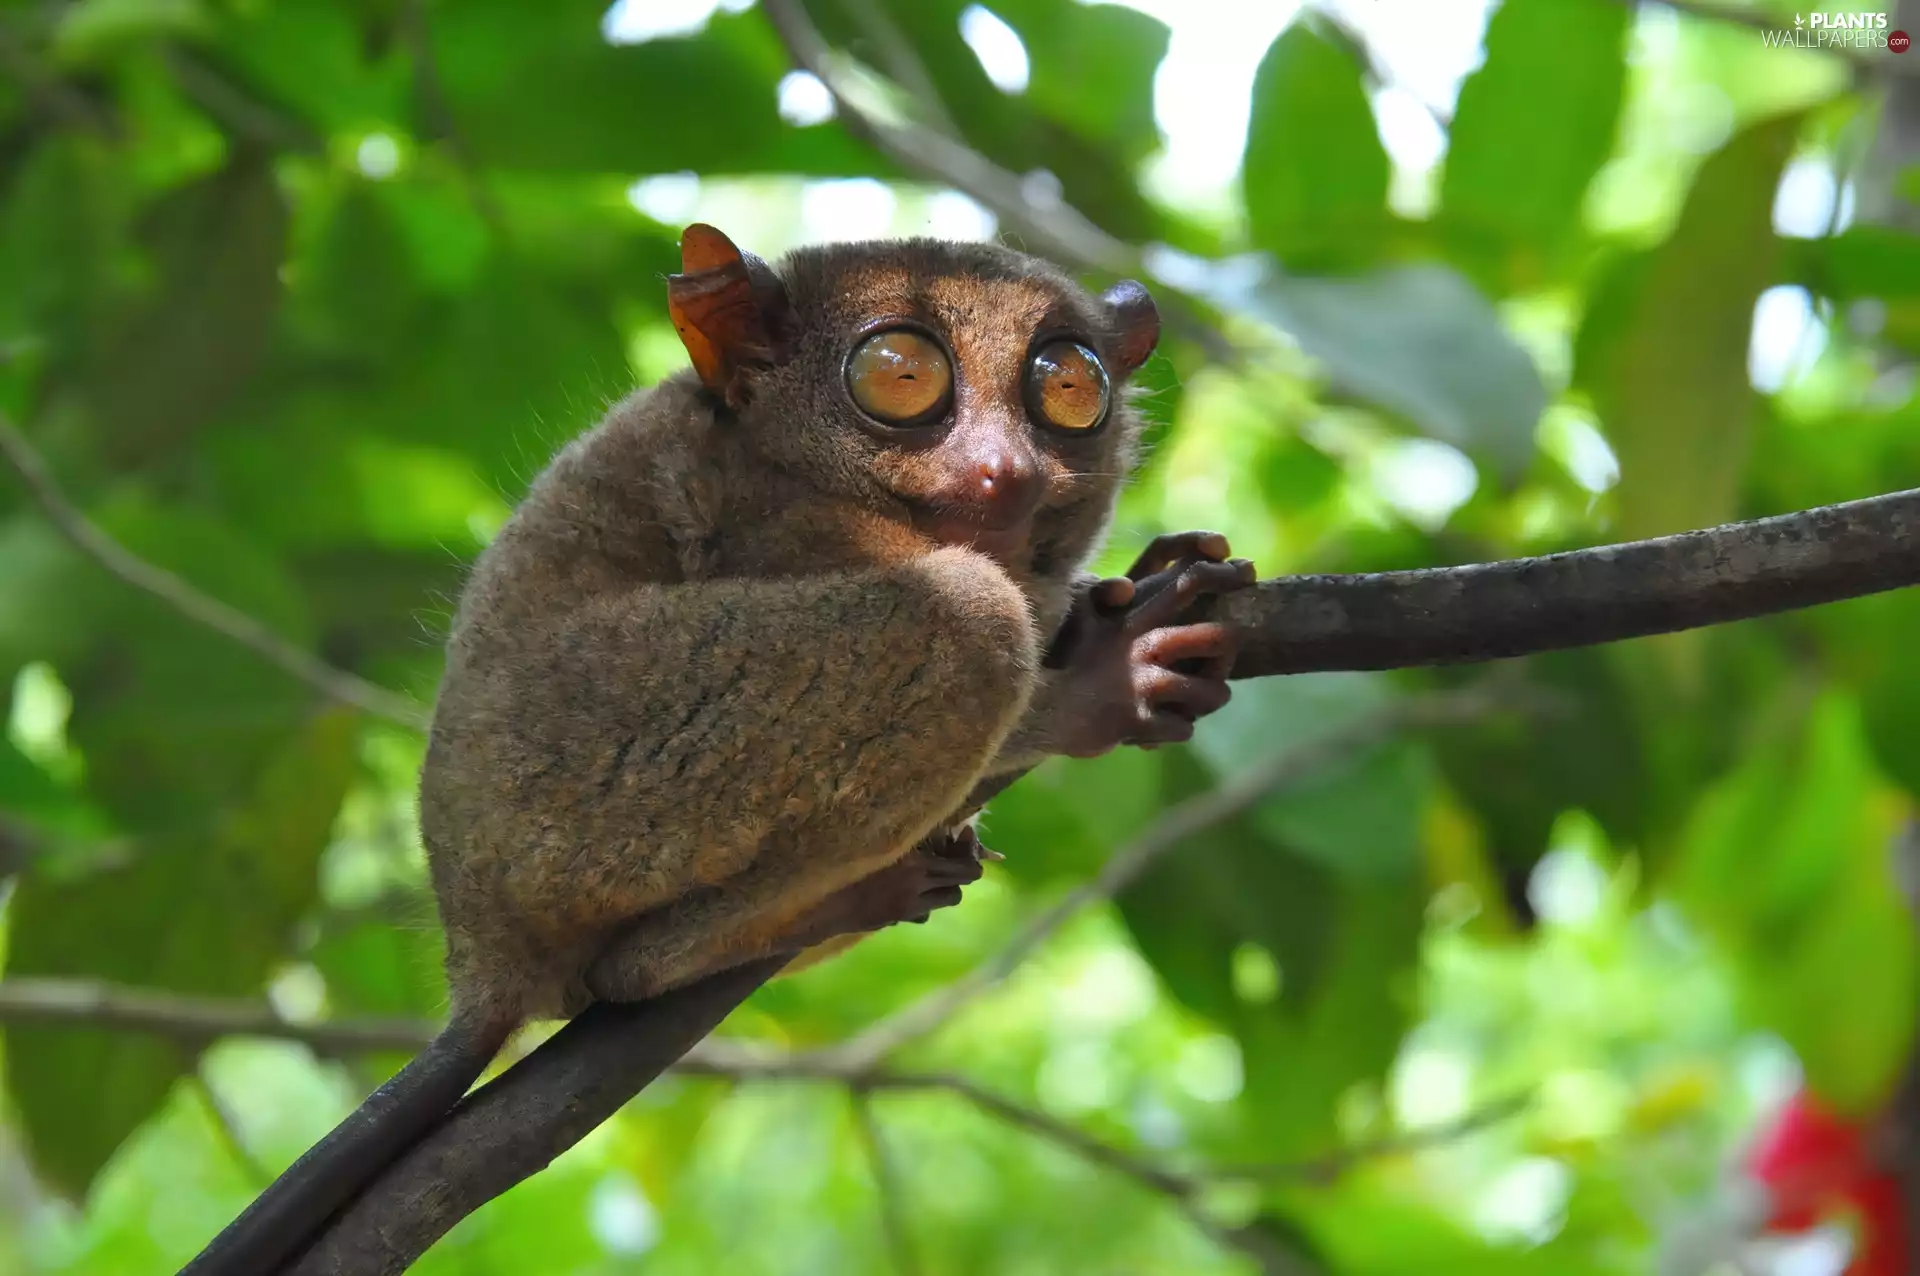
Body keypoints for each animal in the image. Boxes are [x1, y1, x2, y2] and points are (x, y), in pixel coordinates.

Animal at [180, 224, 1254, 1275]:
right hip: (580, 779)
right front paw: (1106, 670)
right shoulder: (767, 517)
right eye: (900, 376)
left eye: (1068, 386)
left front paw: (1151, 572)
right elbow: (1003, 614)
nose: (1010, 471)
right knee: (971, 624)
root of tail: (479, 949)